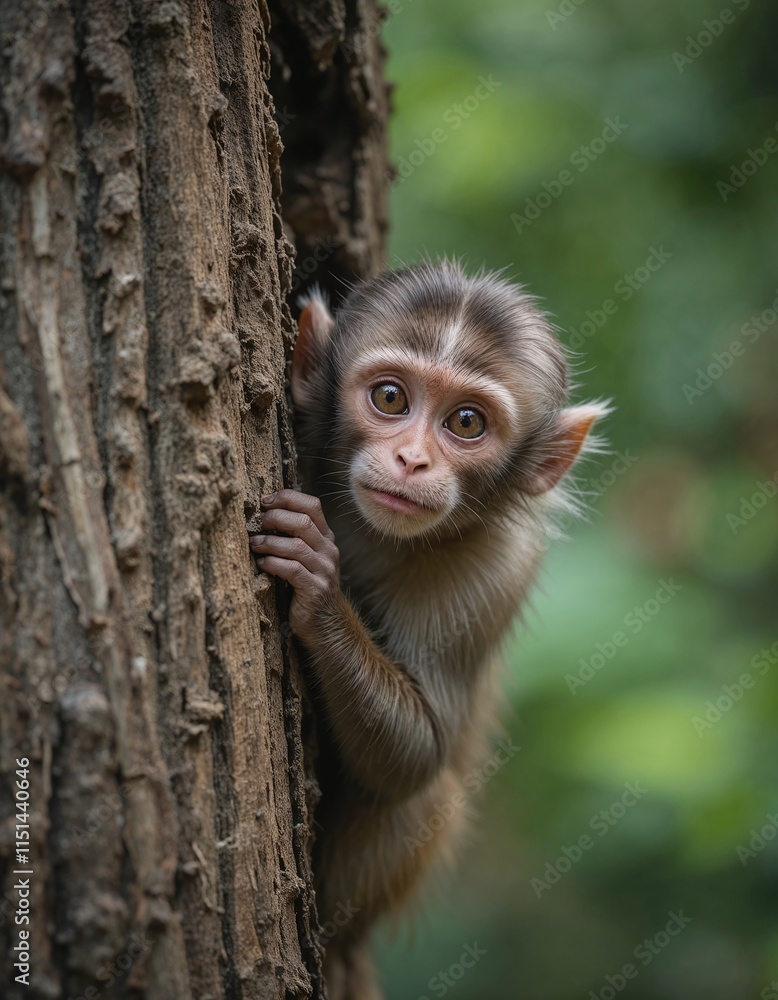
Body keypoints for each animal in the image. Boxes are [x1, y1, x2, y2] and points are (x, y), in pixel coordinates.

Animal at [249, 259, 608, 1000]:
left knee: (429, 795)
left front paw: (319, 589)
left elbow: (420, 756)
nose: (412, 461)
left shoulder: (495, 572)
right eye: (390, 398)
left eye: (466, 421)